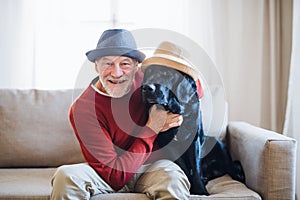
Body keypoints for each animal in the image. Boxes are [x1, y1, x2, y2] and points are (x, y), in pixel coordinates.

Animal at [142, 65, 245, 195]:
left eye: (166, 73)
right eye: (149, 72)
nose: (146, 88)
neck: (177, 109)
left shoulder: (194, 141)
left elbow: (195, 168)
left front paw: (201, 191)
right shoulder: (169, 144)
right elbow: (185, 168)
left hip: (217, 144)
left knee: (235, 165)